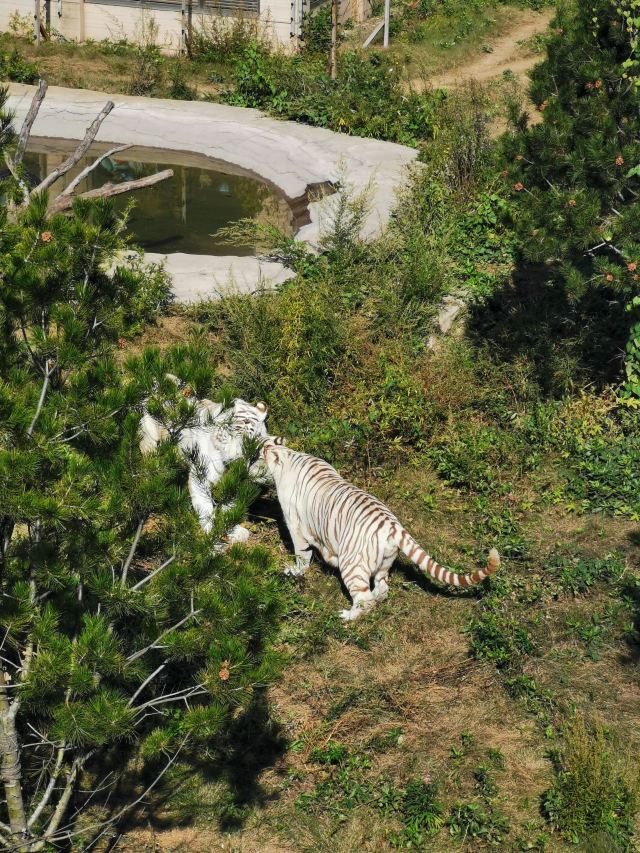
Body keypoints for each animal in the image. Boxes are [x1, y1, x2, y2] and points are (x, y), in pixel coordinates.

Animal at [260, 440, 500, 620]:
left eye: (261, 452)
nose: (259, 449)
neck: (290, 456)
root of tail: (394, 527)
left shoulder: (295, 524)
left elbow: (301, 554)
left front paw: (294, 571)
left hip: (352, 564)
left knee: (364, 600)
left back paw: (346, 616)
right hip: (384, 562)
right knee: (382, 588)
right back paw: (377, 599)